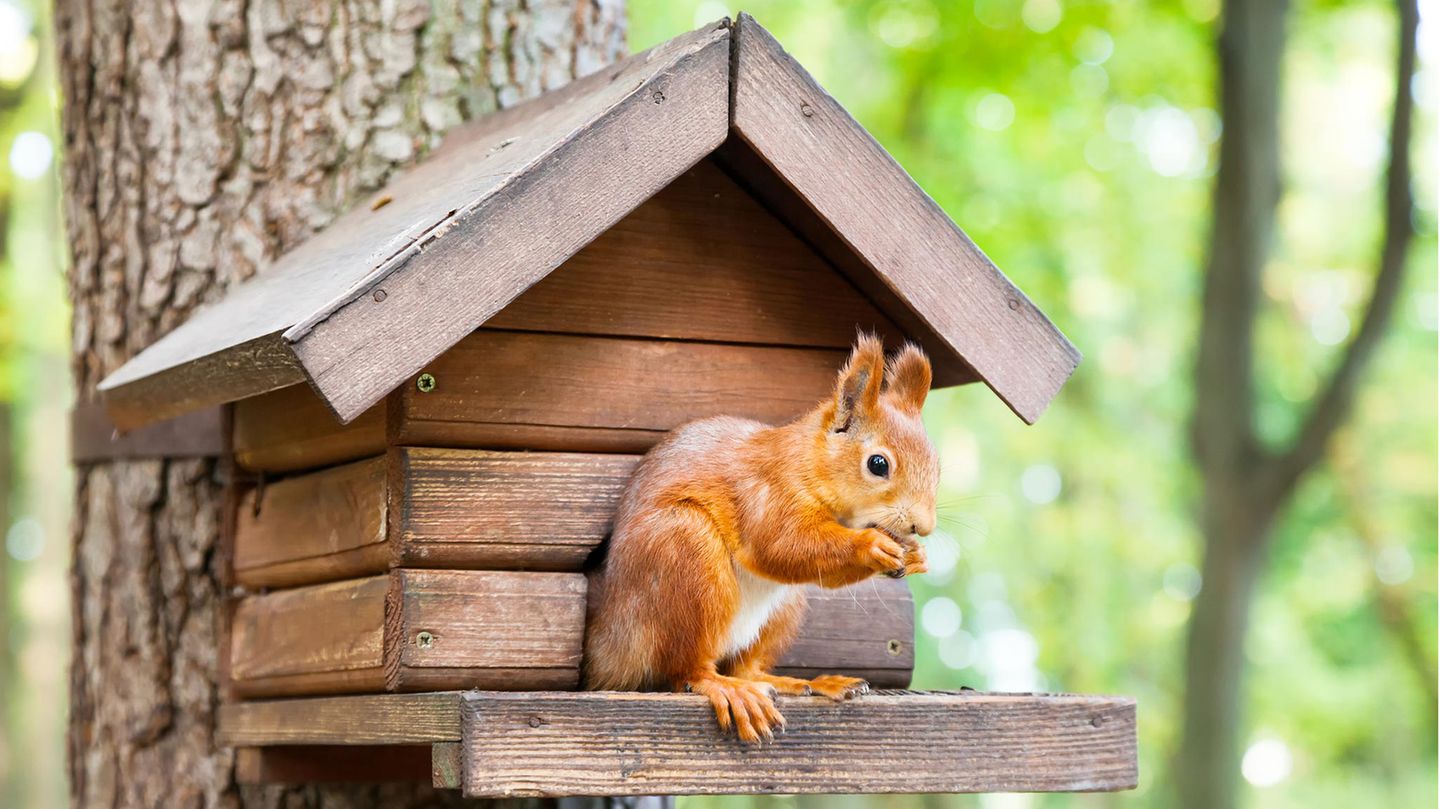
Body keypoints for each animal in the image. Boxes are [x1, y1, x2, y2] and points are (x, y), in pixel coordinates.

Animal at [578, 333, 938, 742]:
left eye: (936, 463)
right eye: (878, 464)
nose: (923, 526)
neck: (807, 462)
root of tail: (613, 637)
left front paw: (916, 555)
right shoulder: (766, 494)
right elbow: (781, 546)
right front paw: (872, 545)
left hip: (783, 608)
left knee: (747, 667)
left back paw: (807, 683)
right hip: (685, 556)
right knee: (688, 670)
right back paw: (728, 689)